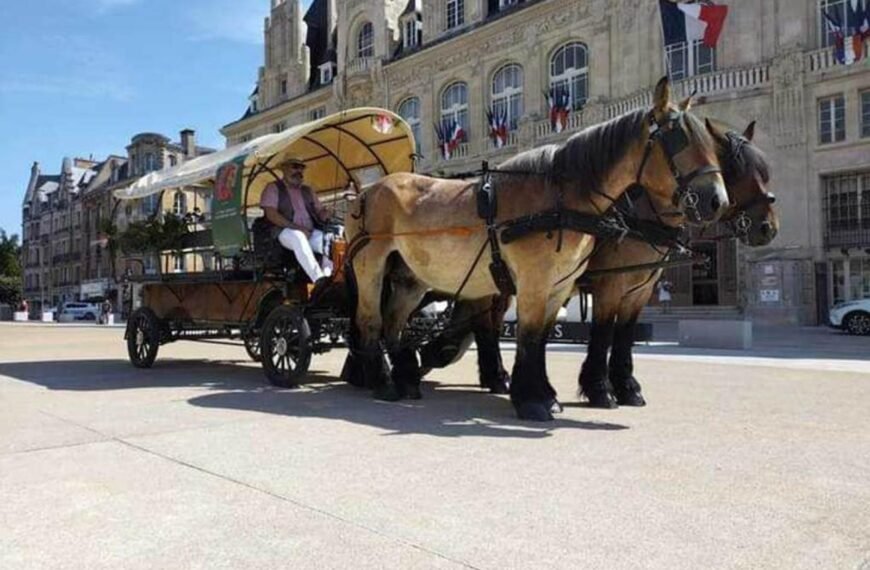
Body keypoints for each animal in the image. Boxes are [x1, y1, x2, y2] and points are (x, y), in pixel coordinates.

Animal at [340, 77, 728, 420]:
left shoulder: (566, 286)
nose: (717, 201)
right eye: (678, 139)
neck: (560, 200)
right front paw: (534, 400)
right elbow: (532, 336)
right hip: (371, 267)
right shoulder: (543, 283)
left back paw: (403, 377)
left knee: (394, 323)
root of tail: (367, 191)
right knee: (370, 320)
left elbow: (544, 338)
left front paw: (548, 394)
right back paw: (382, 381)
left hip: (411, 278)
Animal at [418, 117, 780, 406]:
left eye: (763, 171)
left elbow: (624, 334)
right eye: (738, 169)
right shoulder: (610, 285)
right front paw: (599, 388)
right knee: (485, 324)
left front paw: (626, 387)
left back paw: (494, 375)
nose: (768, 228)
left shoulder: (639, 289)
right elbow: (603, 333)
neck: (637, 216)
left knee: (488, 324)